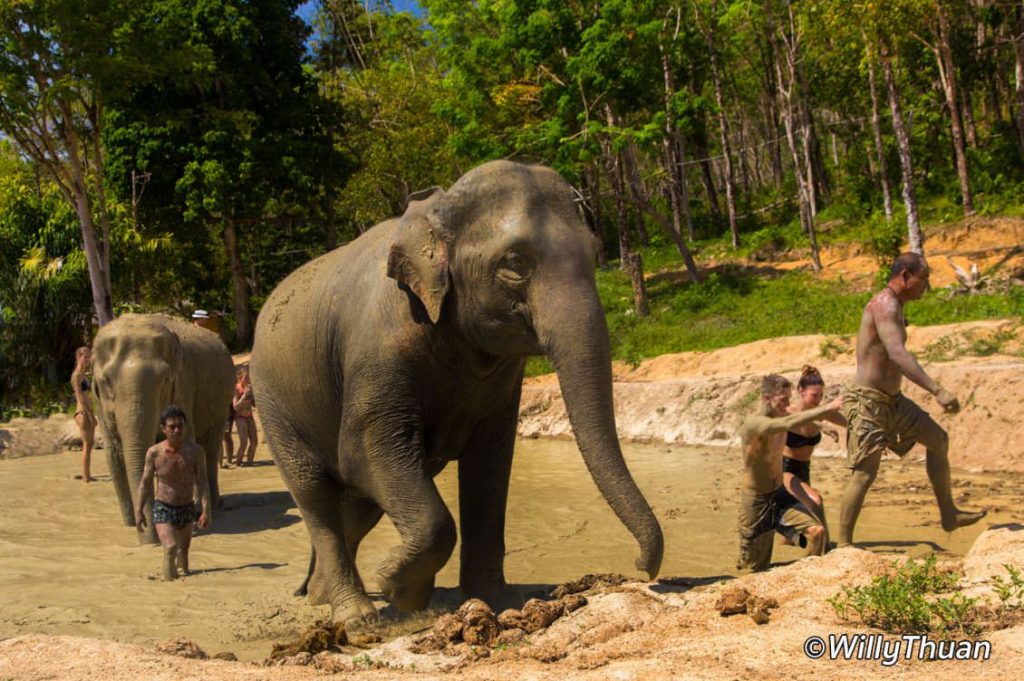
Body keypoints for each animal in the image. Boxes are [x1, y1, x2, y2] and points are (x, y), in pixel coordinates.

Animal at [91, 311, 234, 540]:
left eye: (165, 380)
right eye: (106, 382)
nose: (149, 540)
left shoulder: (183, 383)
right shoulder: (98, 404)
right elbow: (113, 455)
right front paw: (130, 523)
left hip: (222, 404)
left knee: (210, 449)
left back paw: (210, 508)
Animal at [247, 157, 663, 622]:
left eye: (594, 254)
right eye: (514, 264)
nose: (642, 568)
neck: (436, 209)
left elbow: (490, 465)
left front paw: (492, 601)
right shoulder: (377, 352)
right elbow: (361, 454)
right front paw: (398, 588)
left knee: (358, 504)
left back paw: (320, 596)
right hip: (272, 403)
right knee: (315, 492)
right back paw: (356, 616)